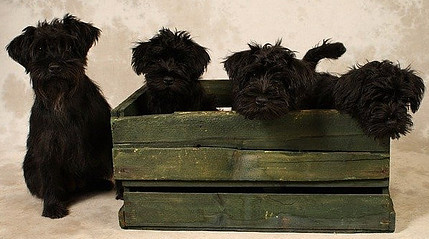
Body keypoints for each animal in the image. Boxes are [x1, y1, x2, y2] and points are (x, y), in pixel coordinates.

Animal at [6, 13, 113, 218]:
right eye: (39, 49)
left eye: (68, 47)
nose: (54, 67)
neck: (62, 100)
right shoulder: (48, 146)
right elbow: (50, 176)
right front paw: (52, 206)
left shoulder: (104, 138)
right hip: (30, 168)